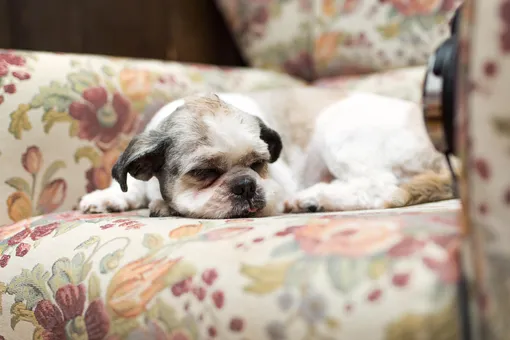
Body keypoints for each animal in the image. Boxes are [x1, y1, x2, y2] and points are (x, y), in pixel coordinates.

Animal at [79, 89, 458, 218]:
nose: (246, 185)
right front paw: (109, 197)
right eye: (204, 173)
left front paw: (160, 204)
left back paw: (316, 198)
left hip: (340, 134)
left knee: (381, 187)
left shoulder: (279, 184)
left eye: (259, 164)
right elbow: (132, 186)